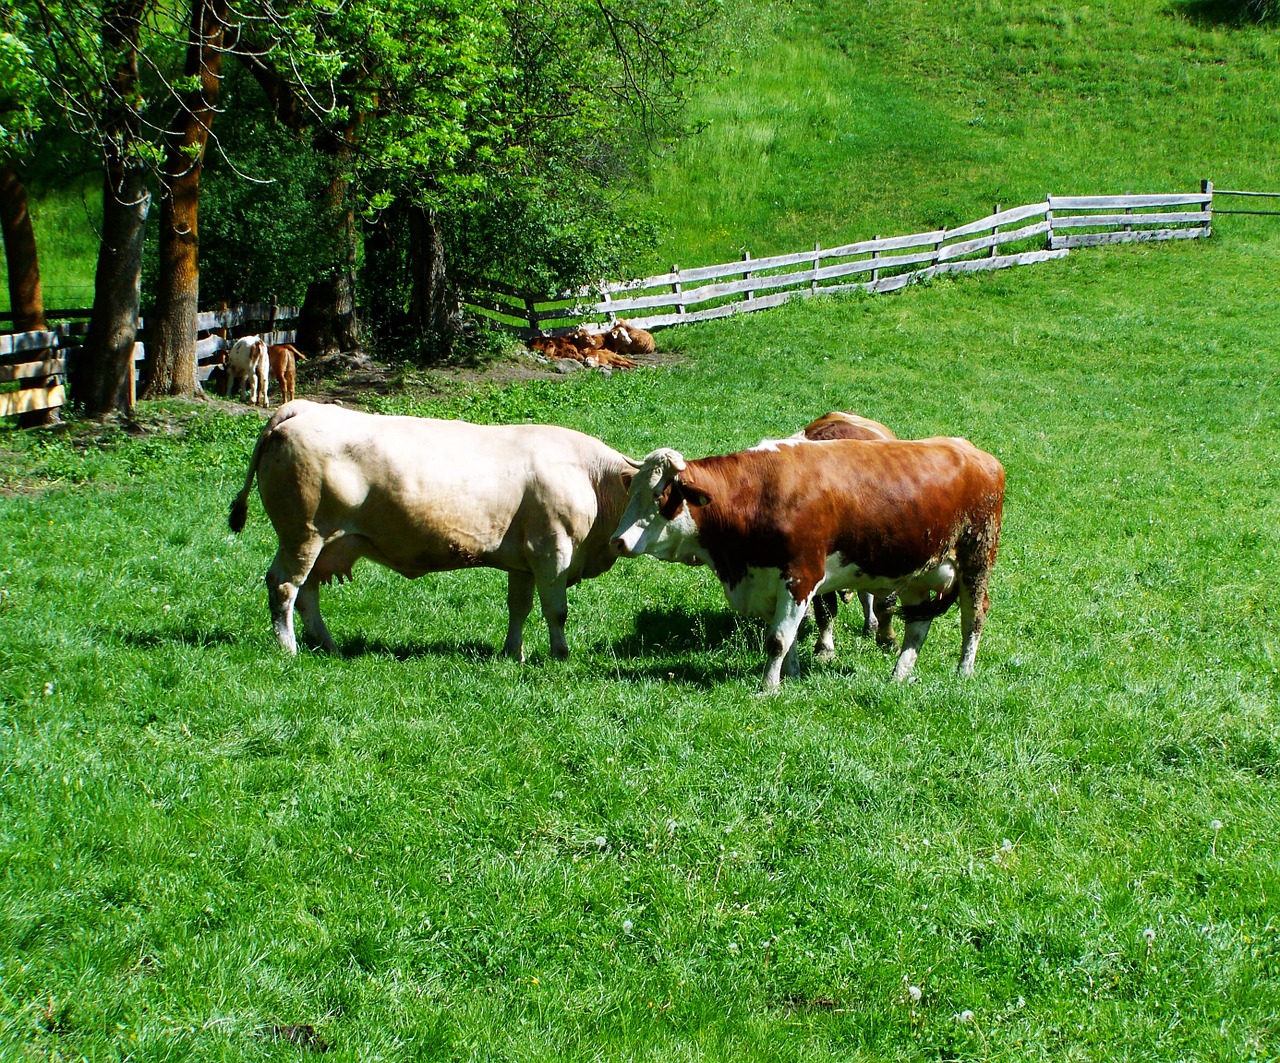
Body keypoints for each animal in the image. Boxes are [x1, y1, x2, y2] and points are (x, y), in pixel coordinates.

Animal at [227, 404, 637, 660]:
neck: (592, 477)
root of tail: (304, 407)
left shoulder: (523, 560)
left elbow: (518, 607)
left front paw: (512, 653)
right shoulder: (552, 549)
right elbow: (557, 610)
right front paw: (559, 656)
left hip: (321, 543)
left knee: (307, 592)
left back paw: (327, 646)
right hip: (303, 535)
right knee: (284, 586)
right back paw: (289, 649)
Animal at [604, 438, 1003, 696]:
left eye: (660, 496)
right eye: (631, 491)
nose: (617, 541)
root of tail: (977, 453)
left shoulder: (801, 576)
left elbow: (778, 639)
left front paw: (768, 688)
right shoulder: (767, 581)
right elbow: (788, 638)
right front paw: (792, 677)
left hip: (977, 559)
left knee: (974, 616)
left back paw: (964, 671)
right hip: (920, 571)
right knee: (918, 625)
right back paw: (898, 676)